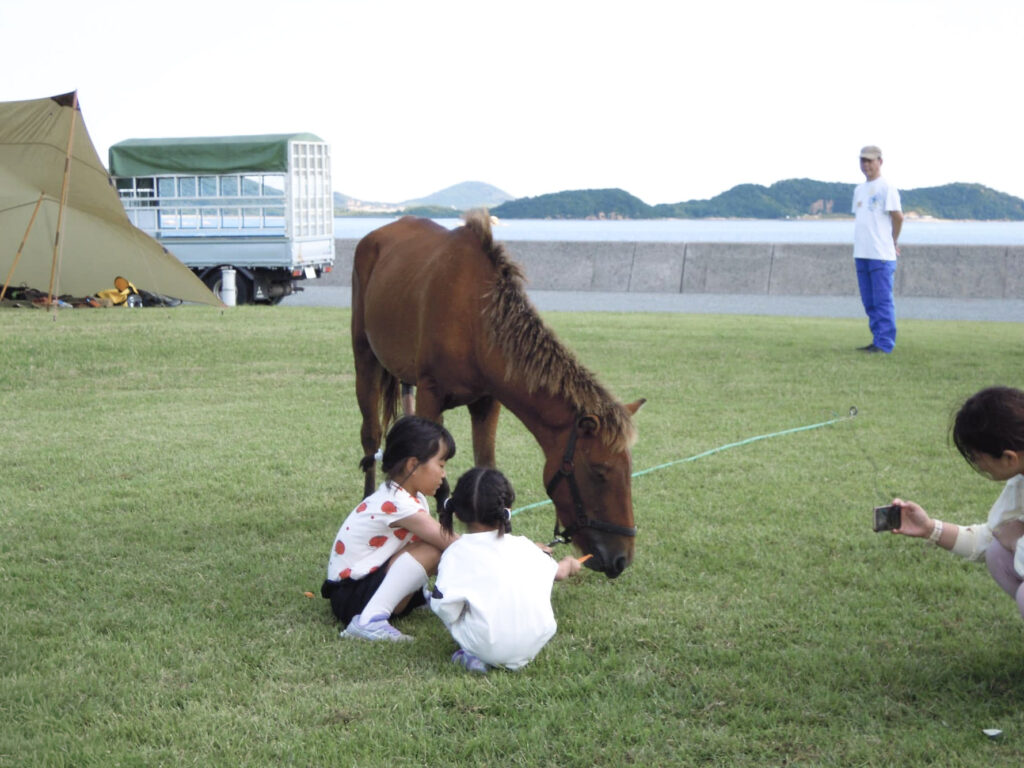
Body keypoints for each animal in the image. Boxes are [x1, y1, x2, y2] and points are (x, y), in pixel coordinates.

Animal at [351, 210, 644, 577]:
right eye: (600, 472)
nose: (622, 559)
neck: (474, 319)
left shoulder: (488, 402)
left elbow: (486, 467)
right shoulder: (432, 395)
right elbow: (440, 484)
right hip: (365, 357)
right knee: (371, 437)